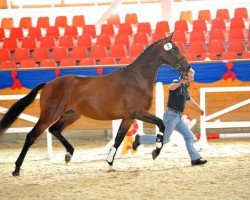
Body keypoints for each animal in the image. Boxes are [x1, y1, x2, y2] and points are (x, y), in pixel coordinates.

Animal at [0, 32, 189, 176]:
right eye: (174, 49)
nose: (187, 68)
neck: (137, 79)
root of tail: (48, 84)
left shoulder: (128, 117)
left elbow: (119, 139)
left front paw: (110, 162)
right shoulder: (138, 112)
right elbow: (161, 124)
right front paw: (155, 151)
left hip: (71, 114)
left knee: (55, 129)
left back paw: (69, 154)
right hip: (49, 115)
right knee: (32, 135)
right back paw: (16, 168)